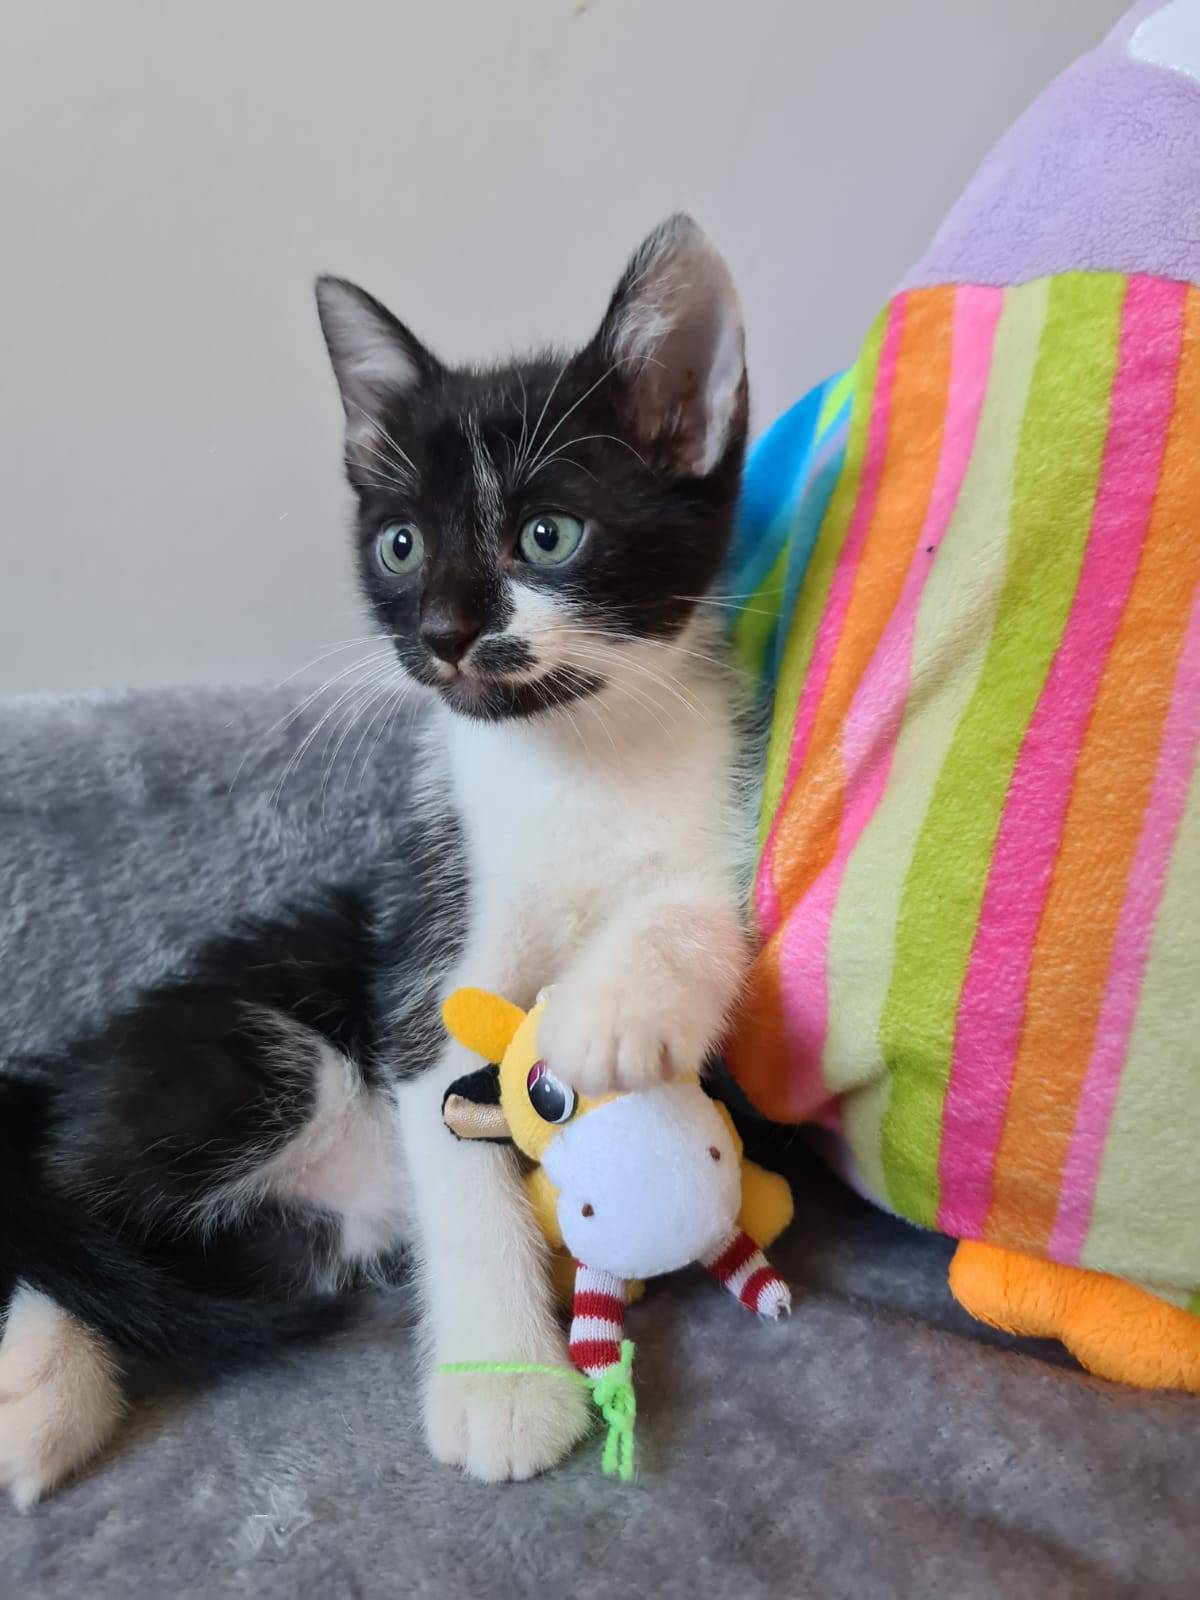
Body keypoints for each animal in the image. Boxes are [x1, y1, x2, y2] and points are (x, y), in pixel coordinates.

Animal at [0, 215, 752, 1504]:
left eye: (549, 534)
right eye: (401, 545)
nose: (446, 631)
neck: (576, 760)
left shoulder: (718, 824)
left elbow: (706, 917)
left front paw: (617, 1006)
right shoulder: (430, 940)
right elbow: (453, 1135)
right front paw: (504, 1383)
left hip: (297, 1240)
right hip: (235, 1055)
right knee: (63, 1211)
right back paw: (37, 1396)